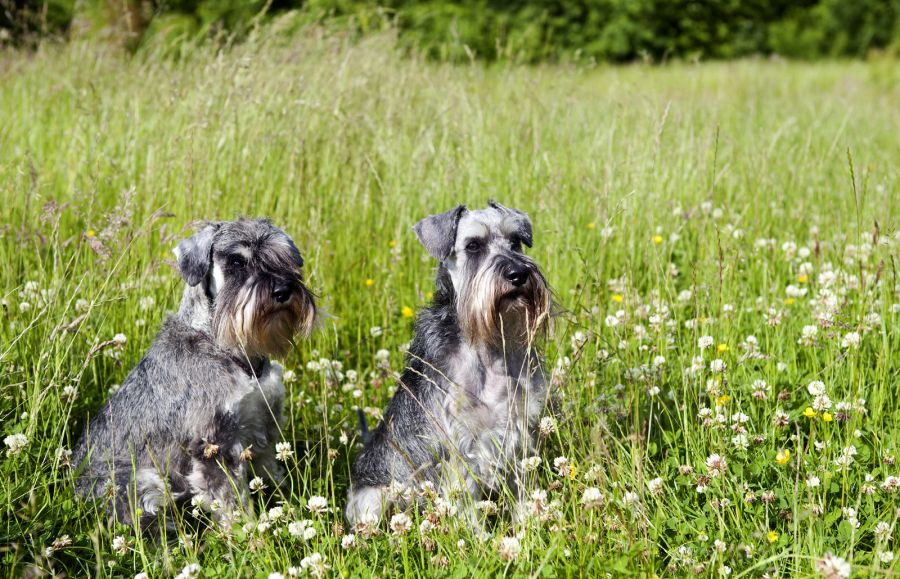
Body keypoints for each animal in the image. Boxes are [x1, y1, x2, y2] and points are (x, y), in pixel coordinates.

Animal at [72, 219, 316, 532]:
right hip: (141, 481)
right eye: (236, 262)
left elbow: (269, 473)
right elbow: (229, 500)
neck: (233, 352)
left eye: (283, 255)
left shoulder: (264, 428)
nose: (284, 290)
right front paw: (246, 533)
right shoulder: (214, 444)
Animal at [346, 202, 552, 528]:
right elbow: (467, 504)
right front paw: (480, 538)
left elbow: (521, 489)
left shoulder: (517, 431)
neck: (488, 350)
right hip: (373, 499)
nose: (518, 273)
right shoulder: (461, 447)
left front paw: (525, 526)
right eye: (473, 245)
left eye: (516, 241)